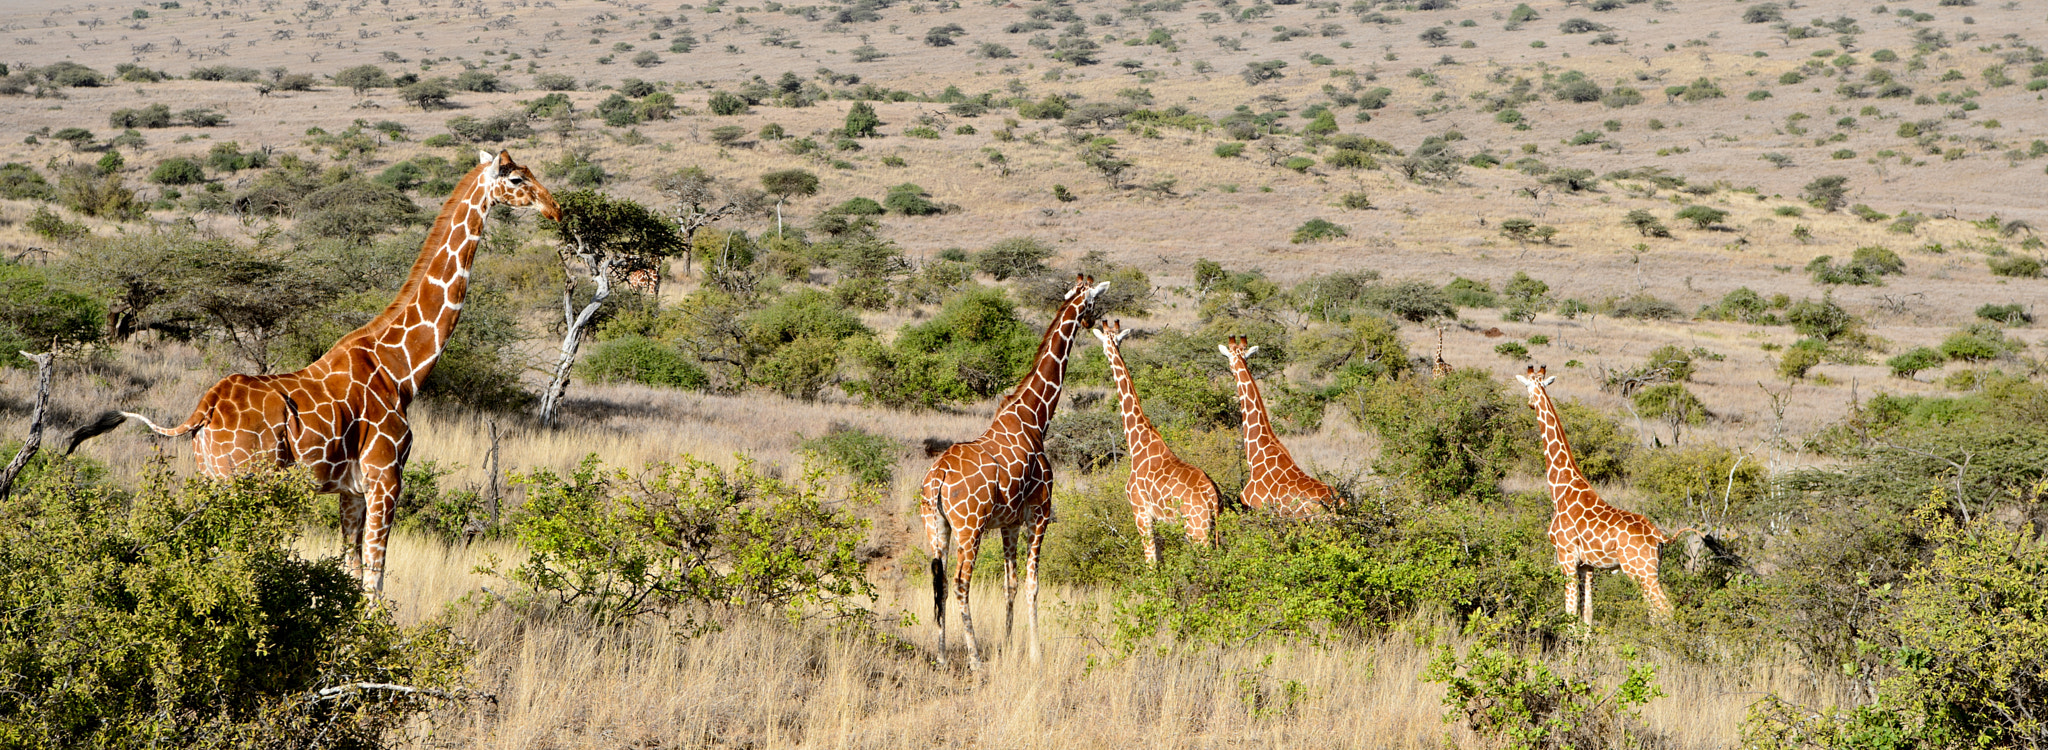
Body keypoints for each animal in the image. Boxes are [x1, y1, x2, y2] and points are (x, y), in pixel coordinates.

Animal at [69, 150, 560, 594]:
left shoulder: (351, 490)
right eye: (516, 178)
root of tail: (205, 409)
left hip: (211, 483)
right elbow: (375, 581)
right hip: (247, 488)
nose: (554, 208)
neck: (401, 370)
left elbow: (351, 573)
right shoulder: (386, 479)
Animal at [921, 274, 1110, 671]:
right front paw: (1036, 653)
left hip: (937, 525)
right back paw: (975, 659)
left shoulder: (1008, 522)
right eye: (1093, 302)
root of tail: (937, 479)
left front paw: (1009, 646)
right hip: (970, 527)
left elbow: (1009, 583)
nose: (1094, 322)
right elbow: (1032, 583)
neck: (1036, 418)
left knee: (939, 580)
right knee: (960, 583)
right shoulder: (1039, 513)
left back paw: (943, 656)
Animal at [1092, 320, 1221, 564]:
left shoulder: (1140, 512)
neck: (1138, 441)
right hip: (1215, 526)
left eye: (1104, 342)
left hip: (1197, 531)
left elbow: (1150, 562)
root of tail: (1212, 498)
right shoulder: (1160, 520)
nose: (1104, 352)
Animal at [1516, 365, 1678, 624]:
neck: (1561, 489)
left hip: (1641, 571)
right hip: (1651, 571)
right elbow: (1587, 615)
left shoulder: (1566, 556)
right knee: (1655, 612)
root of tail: (1659, 536)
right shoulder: (1587, 565)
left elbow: (1571, 614)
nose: (1530, 403)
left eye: (1527, 386)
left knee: (1666, 609)